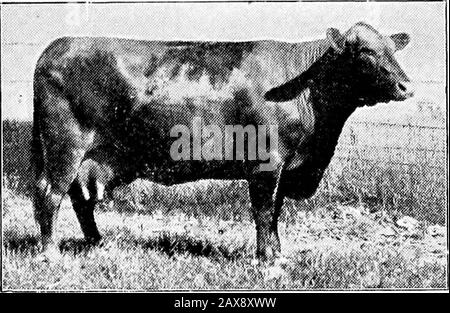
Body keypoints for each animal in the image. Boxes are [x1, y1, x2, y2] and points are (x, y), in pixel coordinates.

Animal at [32, 23, 414, 260]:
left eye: (392, 49)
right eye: (364, 52)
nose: (407, 86)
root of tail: (56, 46)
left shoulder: (285, 168)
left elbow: (275, 213)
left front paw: (278, 253)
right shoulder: (265, 163)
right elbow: (263, 212)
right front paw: (266, 260)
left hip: (85, 156)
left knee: (80, 199)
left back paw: (97, 243)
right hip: (66, 146)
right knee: (50, 195)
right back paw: (50, 252)